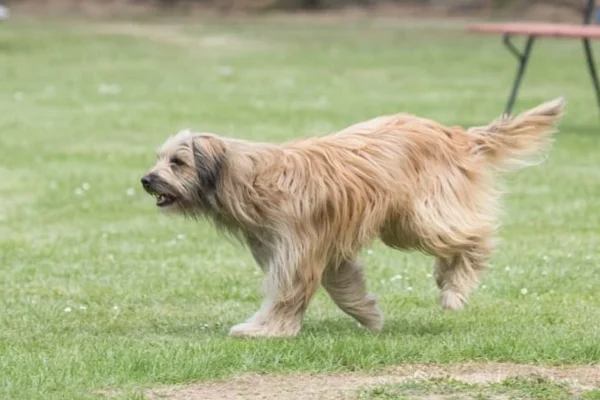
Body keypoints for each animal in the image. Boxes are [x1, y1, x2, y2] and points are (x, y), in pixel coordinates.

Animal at [143, 97, 564, 338]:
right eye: (160, 158)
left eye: (177, 162)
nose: (146, 179)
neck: (247, 178)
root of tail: (452, 134)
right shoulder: (320, 248)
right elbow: (344, 286)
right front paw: (370, 316)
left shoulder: (298, 248)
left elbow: (288, 291)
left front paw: (266, 330)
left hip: (420, 217)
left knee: (476, 237)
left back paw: (454, 290)